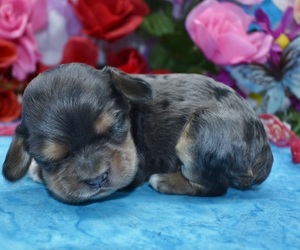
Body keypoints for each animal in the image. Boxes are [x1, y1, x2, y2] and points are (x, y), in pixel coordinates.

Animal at [2, 62, 274, 203]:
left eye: (115, 128)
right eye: (53, 158)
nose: (96, 179)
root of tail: (263, 151)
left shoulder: (135, 168)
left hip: (201, 132)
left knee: (213, 185)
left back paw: (165, 181)